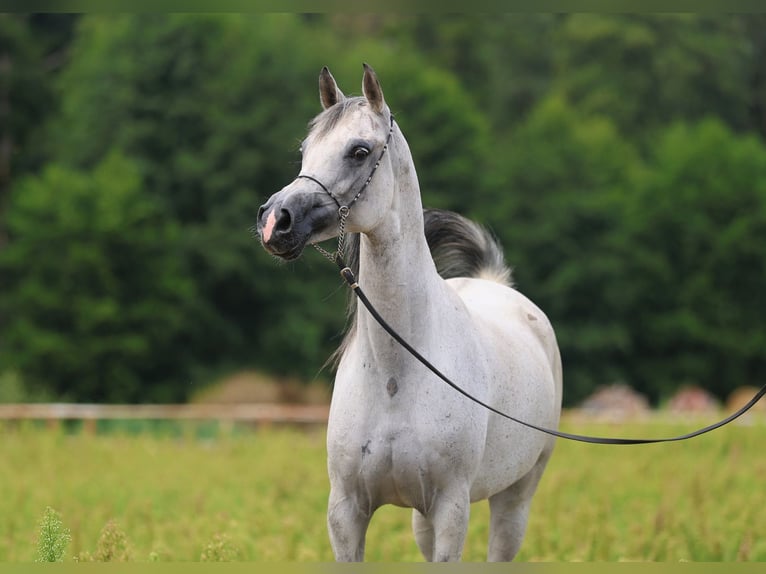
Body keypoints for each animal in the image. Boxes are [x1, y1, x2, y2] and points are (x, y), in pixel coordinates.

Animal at [258, 63, 564, 564]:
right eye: (306, 150)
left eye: (359, 151)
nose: (275, 221)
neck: (396, 373)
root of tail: (497, 283)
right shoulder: (347, 513)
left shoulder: (451, 511)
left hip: (516, 497)